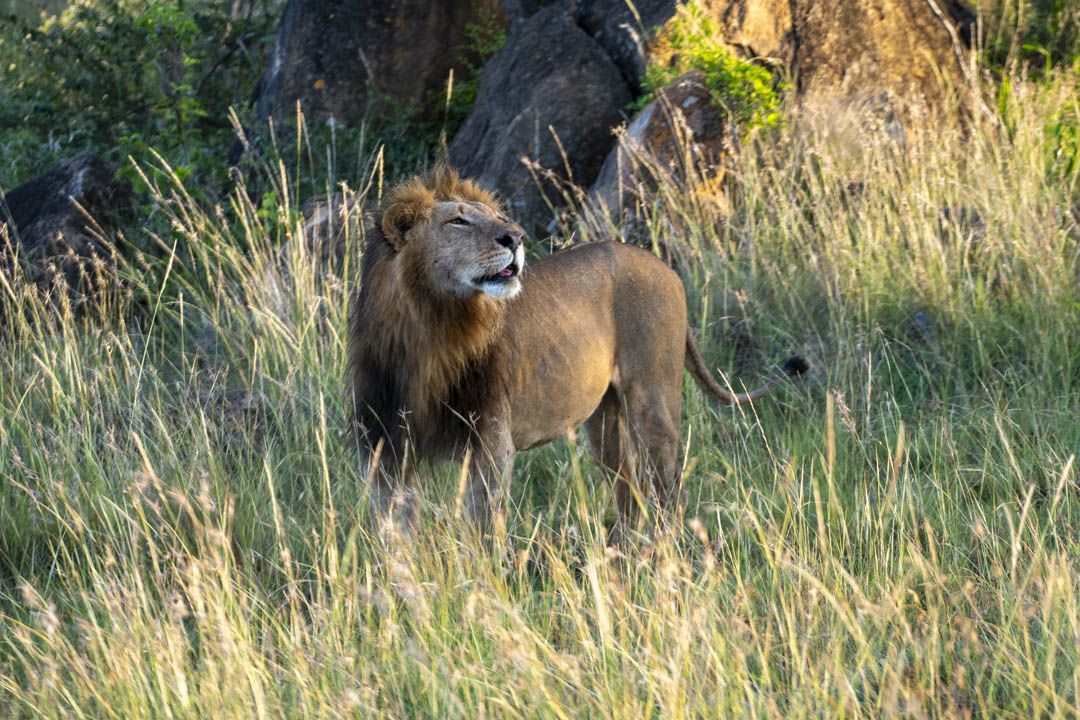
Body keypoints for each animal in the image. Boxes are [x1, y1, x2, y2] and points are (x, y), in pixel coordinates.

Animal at [348, 165, 807, 536]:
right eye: (458, 220)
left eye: (497, 219)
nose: (515, 237)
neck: (429, 334)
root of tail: (665, 266)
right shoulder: (386, 450)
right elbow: (395, 536)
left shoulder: (491, 443)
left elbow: (482, 532)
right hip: (604, 419)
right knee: (629, 492)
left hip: (653, 401)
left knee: (667, 490)